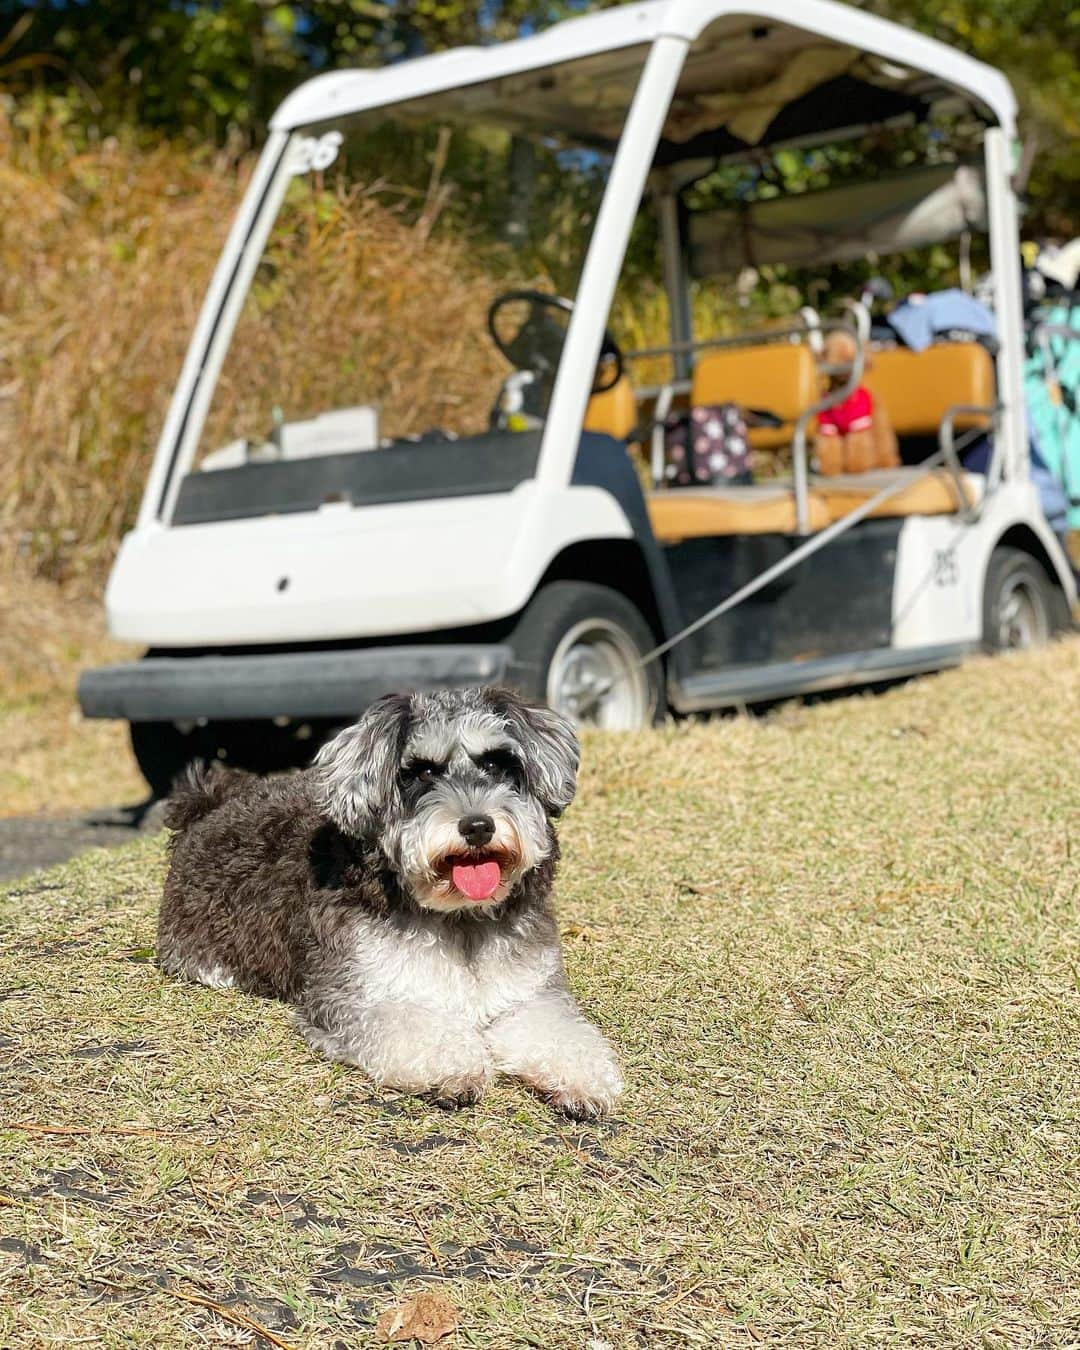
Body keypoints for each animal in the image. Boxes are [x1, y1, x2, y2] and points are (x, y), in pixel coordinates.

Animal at [155, 685, 621, 1117]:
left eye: (495, 763)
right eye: (421, 773)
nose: (477, 826)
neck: (459, 919)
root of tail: (208, 806)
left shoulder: (529, 994)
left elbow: (558, 1031)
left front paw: (582, 1077)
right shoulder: (361, 997)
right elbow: (419, 1028)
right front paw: (456, 1067)